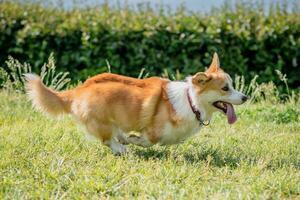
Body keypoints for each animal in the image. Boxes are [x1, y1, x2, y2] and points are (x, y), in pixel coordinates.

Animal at [25, 53, 246, 155]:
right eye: (225, 88)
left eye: (233, 85)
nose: (245, 97)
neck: (191, 101)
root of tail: (77, 91)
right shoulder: (154, 133)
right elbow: (147, 141)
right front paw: (131, 140)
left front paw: (127, 139)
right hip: (102, 121)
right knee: (107, 139)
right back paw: (121, 149)